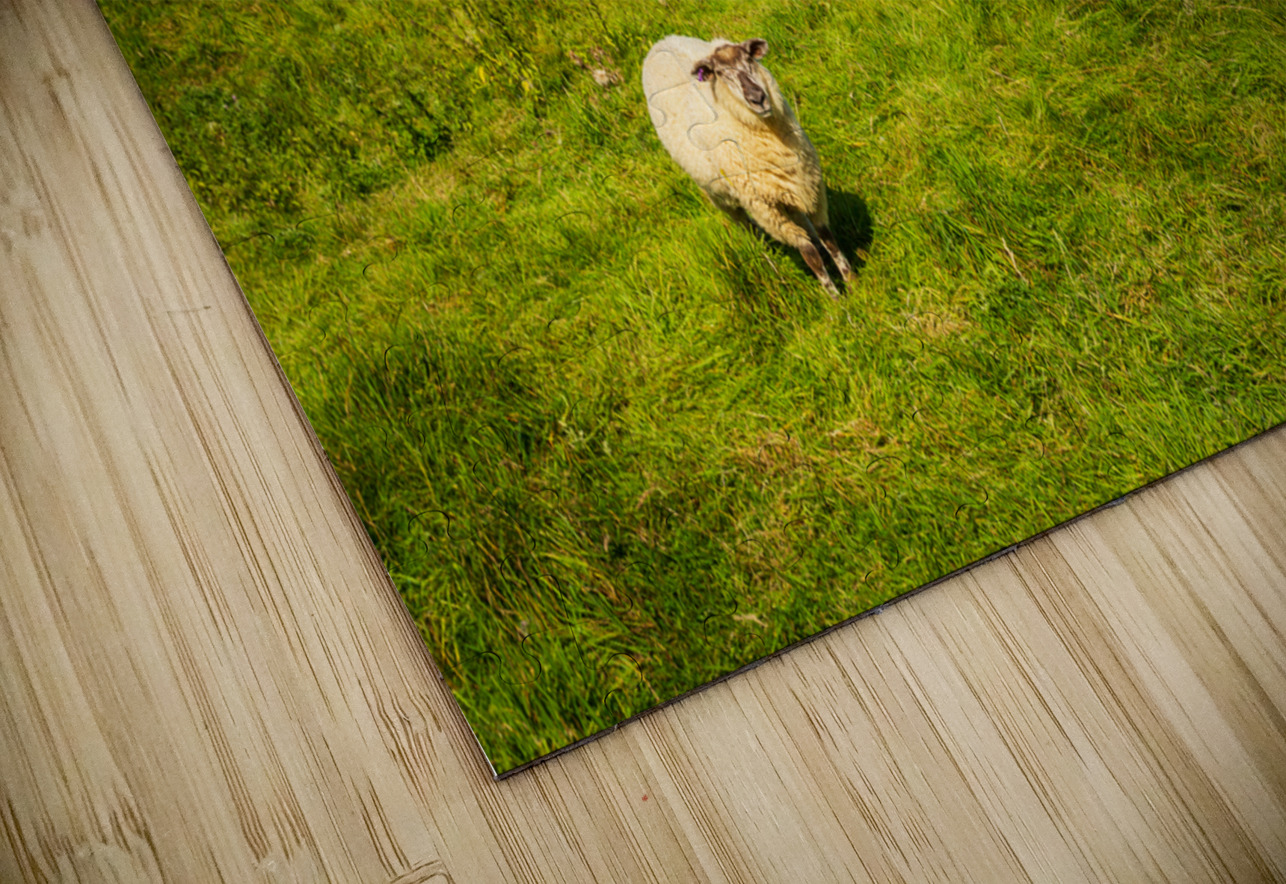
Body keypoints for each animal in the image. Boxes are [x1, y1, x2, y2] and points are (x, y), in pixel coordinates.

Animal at [641, 36, 854, 296]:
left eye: (749, 59)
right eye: (721, 73)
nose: (757, 97)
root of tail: (661, 42)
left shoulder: (809, 183)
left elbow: (827, 238)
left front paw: (853, 283)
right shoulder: (765, 207)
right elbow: (809, 254)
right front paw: (835, 298)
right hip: (722, 199)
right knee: (747, 227)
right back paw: (765, 257)